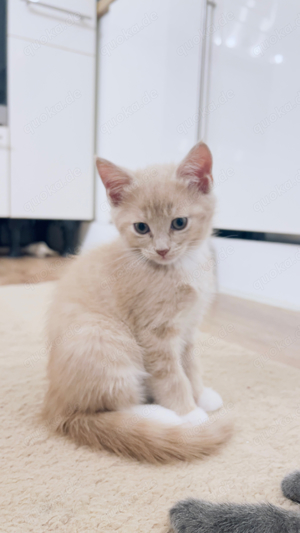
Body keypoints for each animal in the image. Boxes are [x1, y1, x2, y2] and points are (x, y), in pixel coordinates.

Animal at [42, 141, 232, 462]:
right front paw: (189, 411)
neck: (181, 266)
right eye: (141, 228)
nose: (162, 250)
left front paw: (200, 393)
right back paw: (165, 417)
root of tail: (57, 406)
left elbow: (190, 363)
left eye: (179, 223)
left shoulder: (189, 326)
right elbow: (171, 375)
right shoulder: (154, 333)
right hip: (103, 336)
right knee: (112, 406)